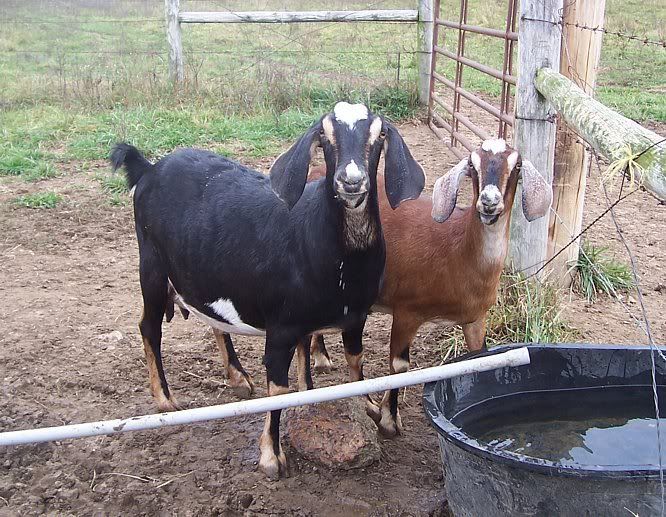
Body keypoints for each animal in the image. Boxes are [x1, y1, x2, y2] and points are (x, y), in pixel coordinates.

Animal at [110, 102, 425, 479]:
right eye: (325, 137)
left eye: (378, 136)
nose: (351, 181)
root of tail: (149, 168)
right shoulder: (282, 326)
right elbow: (280, 389)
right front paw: (272, 456)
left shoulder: (353, 318)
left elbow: (350, 362)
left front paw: (367, 405)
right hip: (152, 267)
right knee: (149, 327)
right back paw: (165, 399)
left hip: (203, 271)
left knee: (214, 319)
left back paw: (237, 376)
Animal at [307, 139, 552, 436]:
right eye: (473, 165)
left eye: (516, 166)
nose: (489, 201)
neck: (457, 250)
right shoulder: (406, 311)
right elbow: (399, 365)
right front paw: (389, 420)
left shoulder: (475, 318)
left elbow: (478, 357)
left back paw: (321, 357)